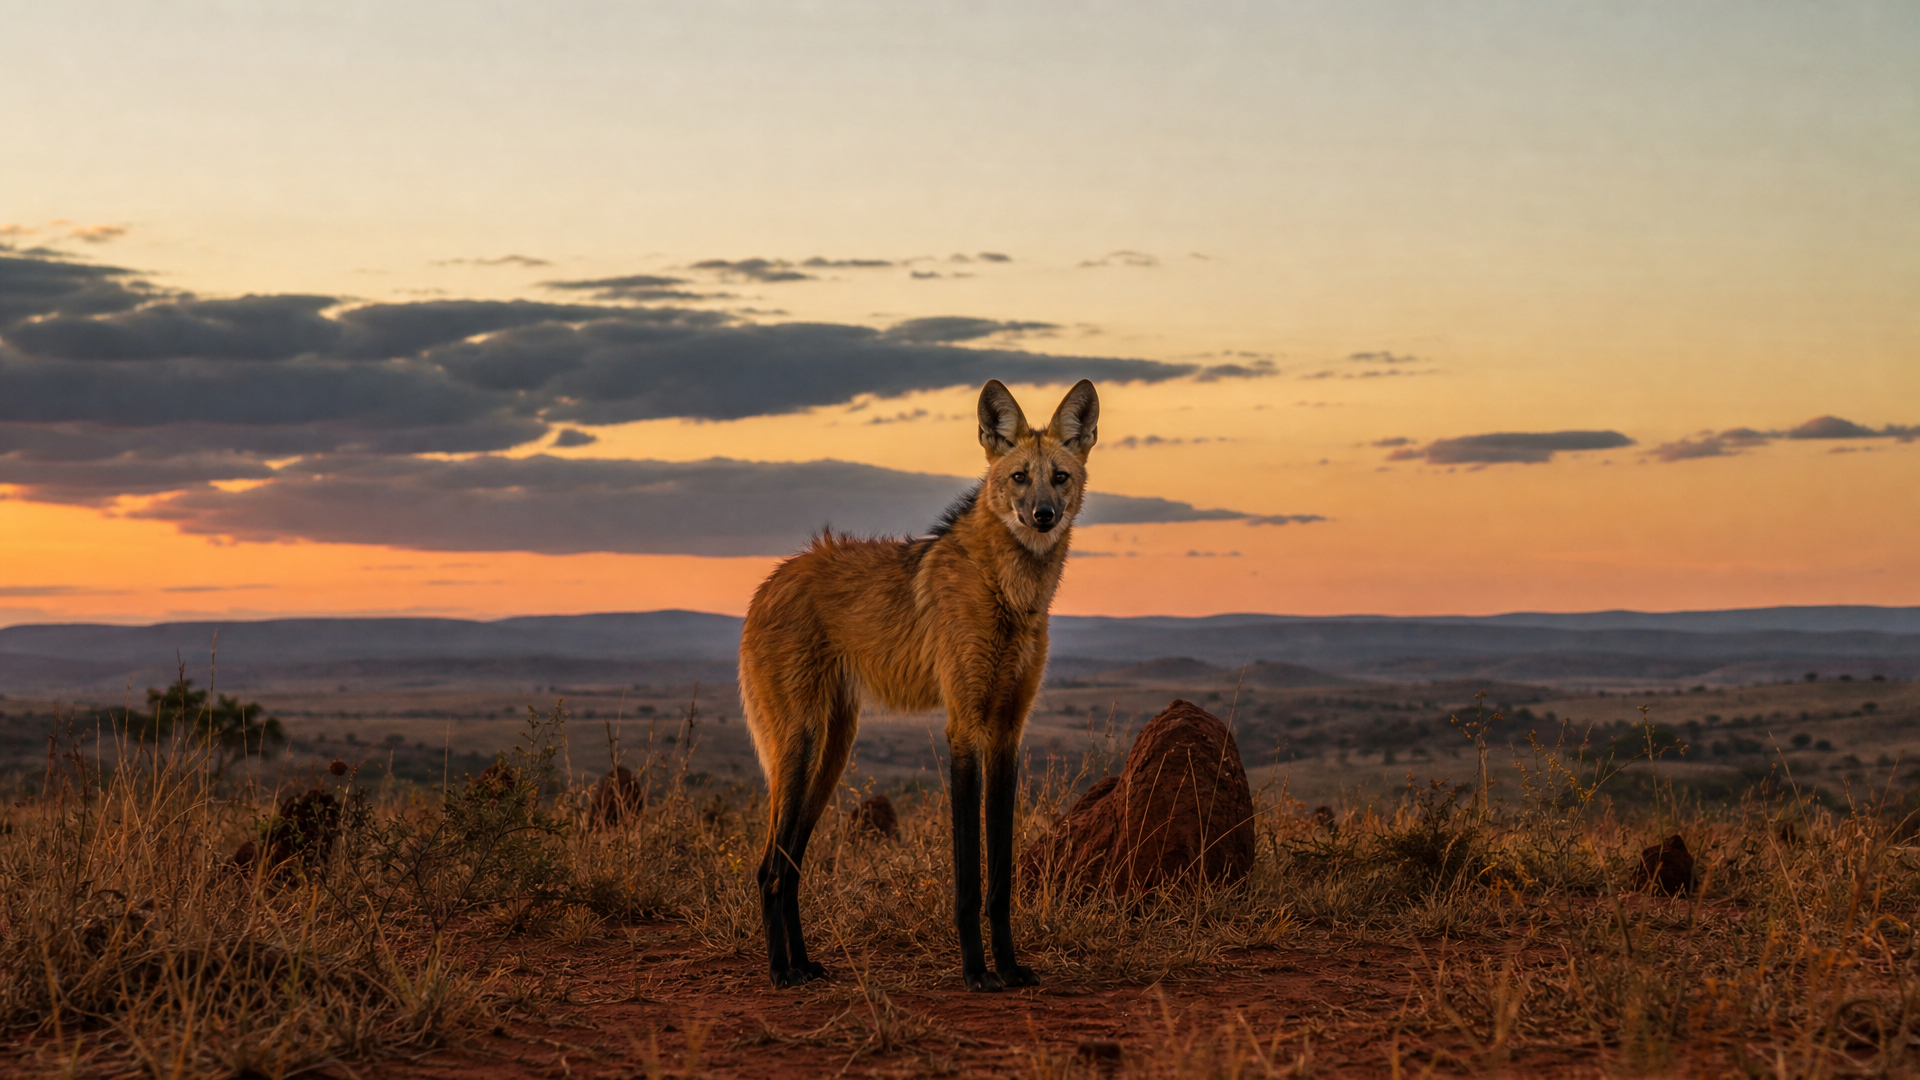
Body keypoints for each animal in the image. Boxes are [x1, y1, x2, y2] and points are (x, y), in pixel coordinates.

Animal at [740, 378, 1098, 991]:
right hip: (801, 744)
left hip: (833, 753)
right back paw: (780, 972)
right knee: (770, 867)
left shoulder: (1006, 732)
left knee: (791, 865)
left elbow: (1000, 877)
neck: (1007, 592)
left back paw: (805, 964)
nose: (1043, 516)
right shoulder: (965, 727)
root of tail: (770, 581)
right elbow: (969, 875)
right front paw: (977, 973)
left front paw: (1009, 967)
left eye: (1060, 477)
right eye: (1019, 478)